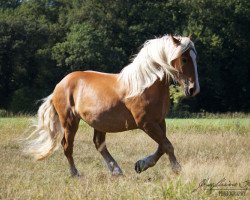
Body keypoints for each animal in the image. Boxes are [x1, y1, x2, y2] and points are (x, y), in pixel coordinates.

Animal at [23, 34, 199, 177]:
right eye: (184, 59)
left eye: (195, 58)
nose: (193, 89)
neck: (145, 85)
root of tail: (59, 86)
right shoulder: (146, 123)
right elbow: (167, 145)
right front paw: (177, 169)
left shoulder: (159, 121)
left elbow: (162, 146)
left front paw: (141, 165)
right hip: (70, 121)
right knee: (67, 145)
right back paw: (75, 173)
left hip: (98, 123)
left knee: (99, 144)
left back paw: (116, 171)